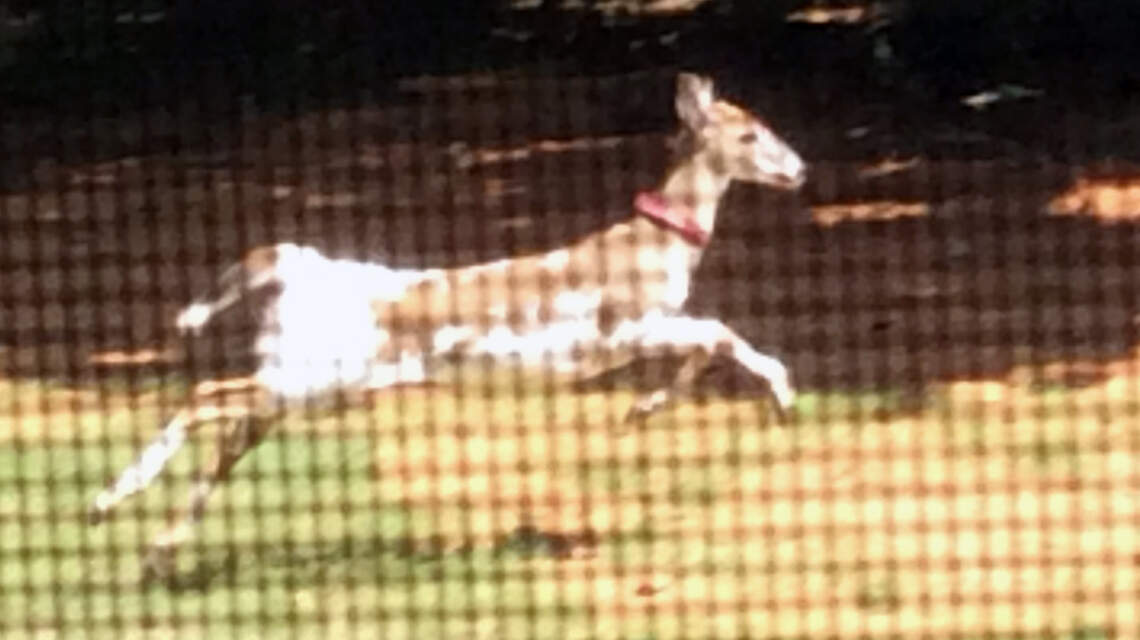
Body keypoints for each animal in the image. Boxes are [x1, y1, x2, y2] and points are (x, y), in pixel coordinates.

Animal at [87, 73, 807, 580]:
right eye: (749, 135)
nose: (799, 169)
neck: (659, 245)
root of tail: (291, 266)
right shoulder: (624, 326)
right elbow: (719, 333)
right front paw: (779, 396)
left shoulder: (642, 332)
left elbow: (707, 343)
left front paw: (642, 408)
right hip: (311, 377)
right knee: (205, 396)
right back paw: (113, 497)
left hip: (304, 383)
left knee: (227, 434)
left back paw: (148, 547)